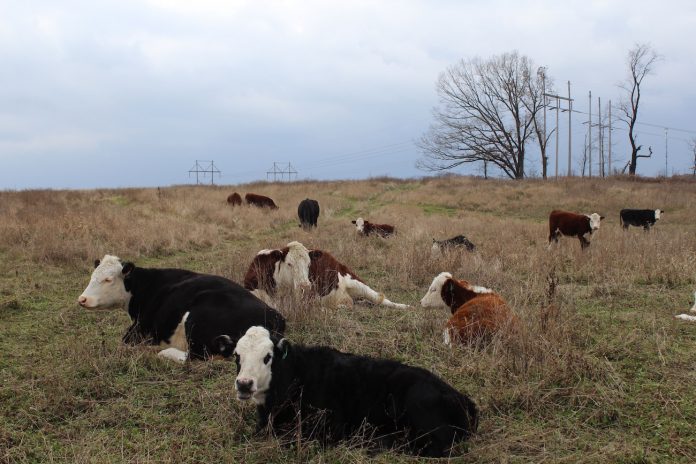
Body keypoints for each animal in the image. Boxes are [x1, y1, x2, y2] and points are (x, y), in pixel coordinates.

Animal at [77, 255, 285, 363]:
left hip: (196, 319)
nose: (82, 299)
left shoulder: (139, 330)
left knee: (193, 357)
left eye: (108, 279)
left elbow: (124, 342)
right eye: (92, 276)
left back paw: (161, 352)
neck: (145, 287)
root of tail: (275, 315)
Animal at [218, 326, 478, 457]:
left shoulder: (326, 430)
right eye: (237, 356)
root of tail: (464, 400)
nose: (244, 384)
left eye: (267, 357)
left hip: (422, 410)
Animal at [243, 241, 409, 309]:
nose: (305, 286)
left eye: (309, 264)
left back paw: (405, 306)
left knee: (381, 299)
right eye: (289, 264)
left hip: (357, 284)